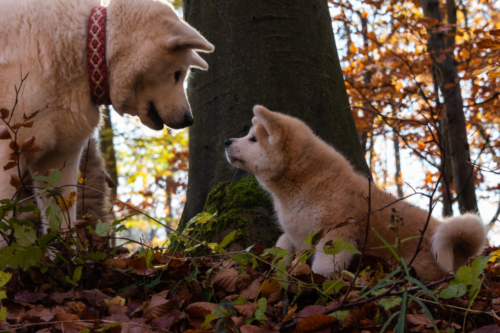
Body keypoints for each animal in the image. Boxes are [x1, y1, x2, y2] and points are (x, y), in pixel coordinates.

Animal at [225, 105, 486, 282]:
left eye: (253, 139)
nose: (227, 141)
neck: (305, 184)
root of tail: (460, 254)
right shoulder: (297, 232)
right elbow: (281, 247)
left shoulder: (337, 234)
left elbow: (323, 269)